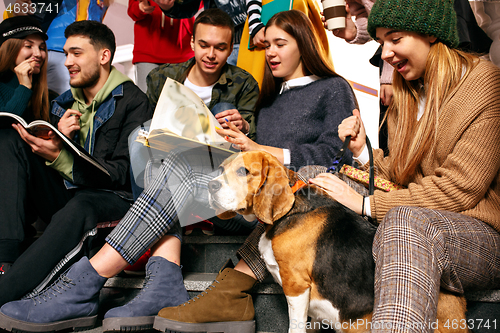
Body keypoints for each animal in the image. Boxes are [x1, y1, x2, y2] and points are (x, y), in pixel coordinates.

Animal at [208, 151, 468, 332]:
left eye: (243, 171)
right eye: (221, 168)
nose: (210, 185)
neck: (290, 210)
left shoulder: (296, 285)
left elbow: (294, 326)